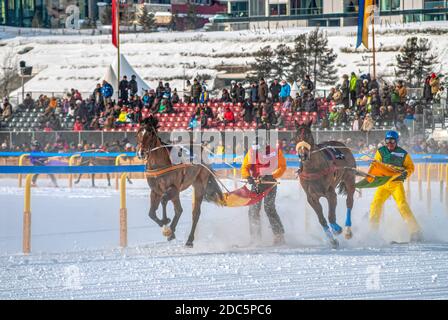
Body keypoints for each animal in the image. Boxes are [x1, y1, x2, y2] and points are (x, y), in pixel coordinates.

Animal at [135, 115, 222, 248]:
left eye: (150, 134)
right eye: (138, 133)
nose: (141, 153)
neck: (159, 164)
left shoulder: (173, 187)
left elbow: (164, 200)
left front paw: (166, 224)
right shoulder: (155, 191)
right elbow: (151, 213)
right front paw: (165, 224)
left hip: (199, 184)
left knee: (195, 213)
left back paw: (189, 240)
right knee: (179, 209)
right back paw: (173, 232)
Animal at [296, 121, 356, 249]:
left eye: (309, 135)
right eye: (297, 136)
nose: (303, 155)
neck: (313, 169)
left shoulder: (330, 193)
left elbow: (331, 216)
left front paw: (337, 229)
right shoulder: (311, 197)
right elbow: (322, 219)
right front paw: (333, 241)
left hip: (349, 177)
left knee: (349, 201)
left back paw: (348, 231)